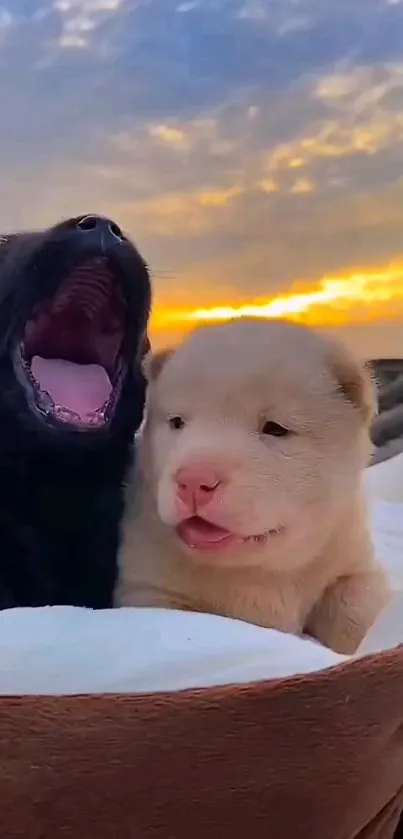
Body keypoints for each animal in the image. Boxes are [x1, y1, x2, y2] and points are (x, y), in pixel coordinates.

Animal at [116, 318, 392, 652]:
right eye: (177, 422)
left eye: (275, 428)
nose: (194, 480)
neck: (262, 572)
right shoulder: (148, 585)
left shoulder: (351, 561)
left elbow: (356, 604)